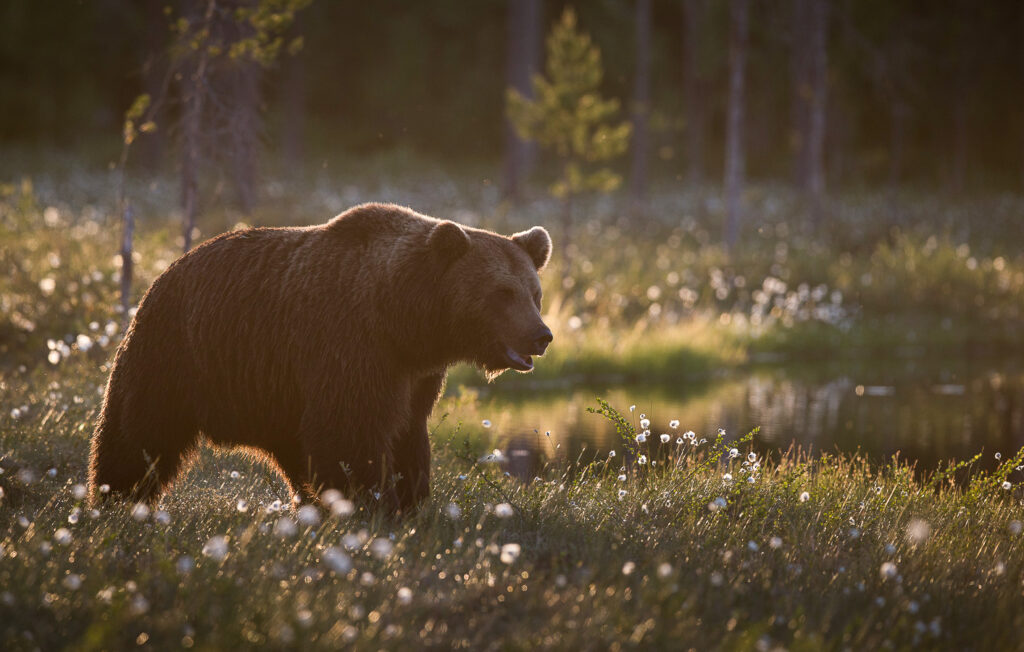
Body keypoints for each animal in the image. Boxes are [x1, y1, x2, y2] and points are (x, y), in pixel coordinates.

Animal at [87, 202, 553, 512]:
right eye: (502, 293)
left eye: (534, 293)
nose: (541, 335)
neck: (405, 319)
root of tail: (164, 271)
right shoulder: (350, 345)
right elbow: (349, 430)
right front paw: (373, 501)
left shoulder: (414, 373)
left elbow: (406, 432)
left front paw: (409, 498)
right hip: (176, 353)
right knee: (139, 431)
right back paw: (114, 498)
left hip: (269, 395)